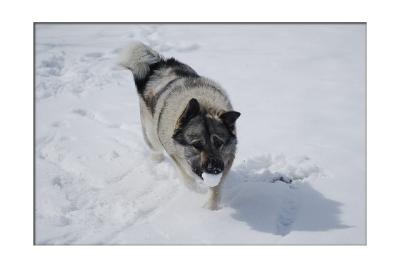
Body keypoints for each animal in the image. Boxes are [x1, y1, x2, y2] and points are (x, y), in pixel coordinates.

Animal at [118, 42, 238, 209]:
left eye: (219, 143)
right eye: (196, 145)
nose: (215, 169)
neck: (204, 105)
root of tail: (158, 65)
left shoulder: (225, 161)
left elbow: (215, 189)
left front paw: (210, 208)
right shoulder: (175, 154)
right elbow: (187, 178)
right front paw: (197, 191)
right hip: (151, 133)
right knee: (155, 148)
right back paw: (156, 161)